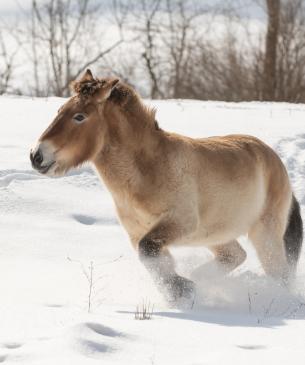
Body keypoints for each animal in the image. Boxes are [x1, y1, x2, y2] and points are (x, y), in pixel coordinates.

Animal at [30, 69, 302, 302]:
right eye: (59, 110)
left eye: (79, 117)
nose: (36, 156)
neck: (147, 171)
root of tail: (274, 160)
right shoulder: (138, 233)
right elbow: (152, 258)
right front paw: (182, 289)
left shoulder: (179, 223)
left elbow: (148, 250)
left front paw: (181, 288)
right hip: (215, 235)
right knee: (235, 256)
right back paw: (202, 280)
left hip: (264, 233)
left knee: (279, 273)